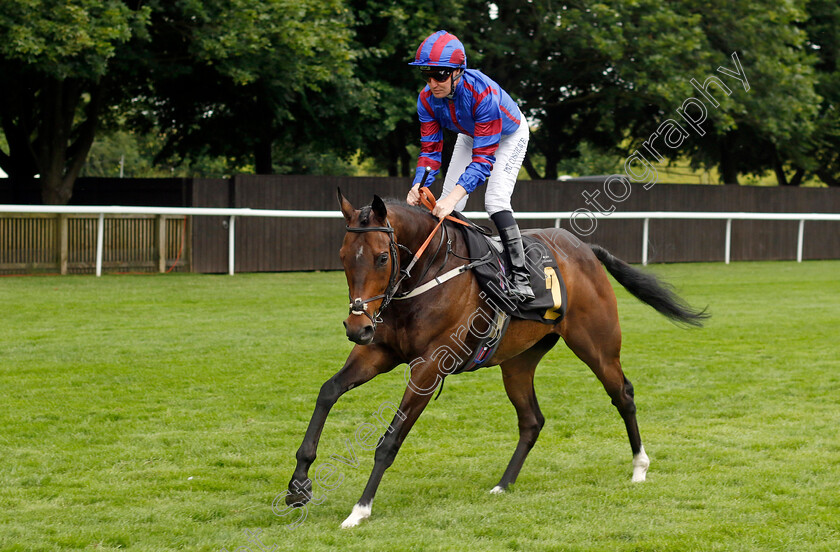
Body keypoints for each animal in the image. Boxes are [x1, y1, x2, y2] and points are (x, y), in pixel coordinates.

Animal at [286, 192, 704, 528]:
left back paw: (639, 467)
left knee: (623, 395)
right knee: (532, 420)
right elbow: (328, 391)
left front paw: (360, 510)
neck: (426, 274)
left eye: (382, 257)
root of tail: (584, 250)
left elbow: (390, 440)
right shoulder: (379, 351)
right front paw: (298, 484)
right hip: (518, 362)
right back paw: (504, 484)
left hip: (597, 346)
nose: (356, 326)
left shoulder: (428, 367)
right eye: (343, 257)